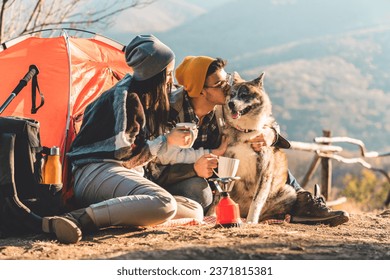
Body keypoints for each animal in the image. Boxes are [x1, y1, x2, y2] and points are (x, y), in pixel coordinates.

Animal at [219, 72, 296, 223]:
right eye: (232, 94)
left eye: (244, 95)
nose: (231, 104)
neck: (245, 130)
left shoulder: (264, 169)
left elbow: (257, 200)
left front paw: (251, 221)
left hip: (289, 192)